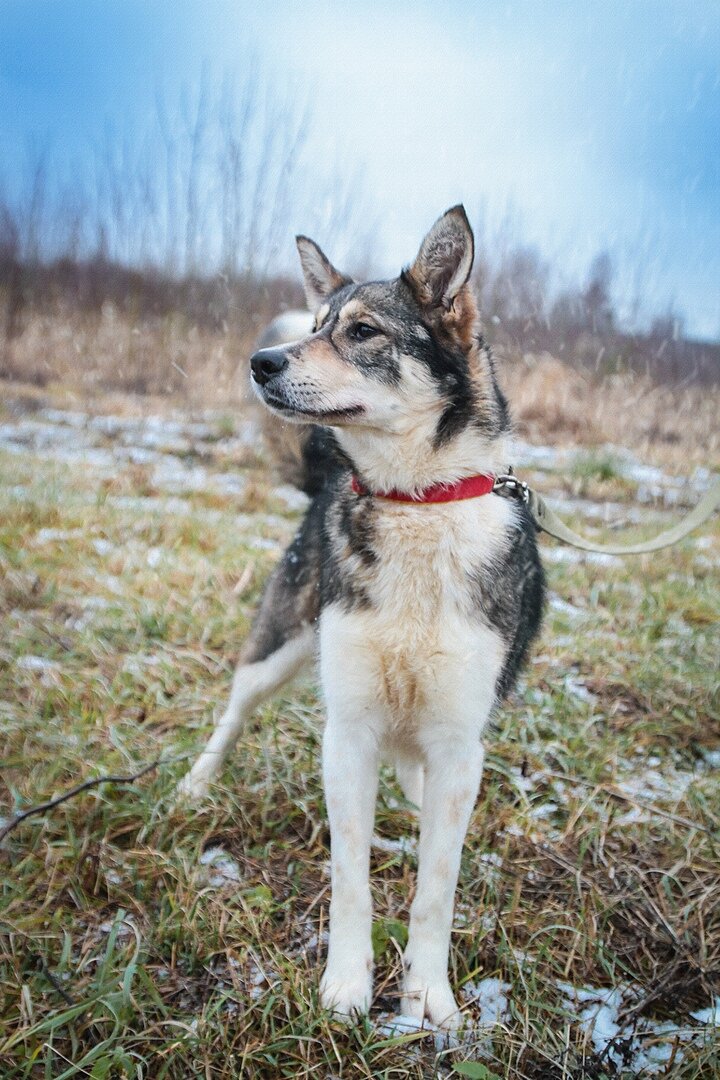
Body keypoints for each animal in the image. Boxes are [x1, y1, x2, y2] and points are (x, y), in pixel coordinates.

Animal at [177, 206, 544, 1023]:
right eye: (316, 325)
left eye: (363, 331)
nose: (261, 362)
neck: (416, 503)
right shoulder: (348, 733)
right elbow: (351, 882)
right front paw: (346, 986)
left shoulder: (456, 742)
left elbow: (436, 890)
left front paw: (428, 998)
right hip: (281, 648)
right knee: (234, 711)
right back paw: (196, 784)